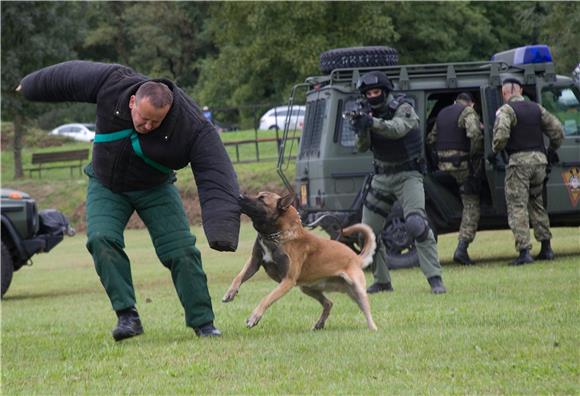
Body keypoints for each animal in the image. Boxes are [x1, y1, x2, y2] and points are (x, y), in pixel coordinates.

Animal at [220, 192, 378, 332]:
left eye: (262, 199)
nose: (239, 196)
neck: (276, 236)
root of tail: (355, 257)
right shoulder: (254, 262)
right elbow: (239, 276)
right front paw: (230, 292)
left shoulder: (288, 281)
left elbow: (267, 298)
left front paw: (254, 317)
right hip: (307, 288)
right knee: (329, 303)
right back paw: (319, 324)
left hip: (357, 290)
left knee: (366, 311)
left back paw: (372, 328)